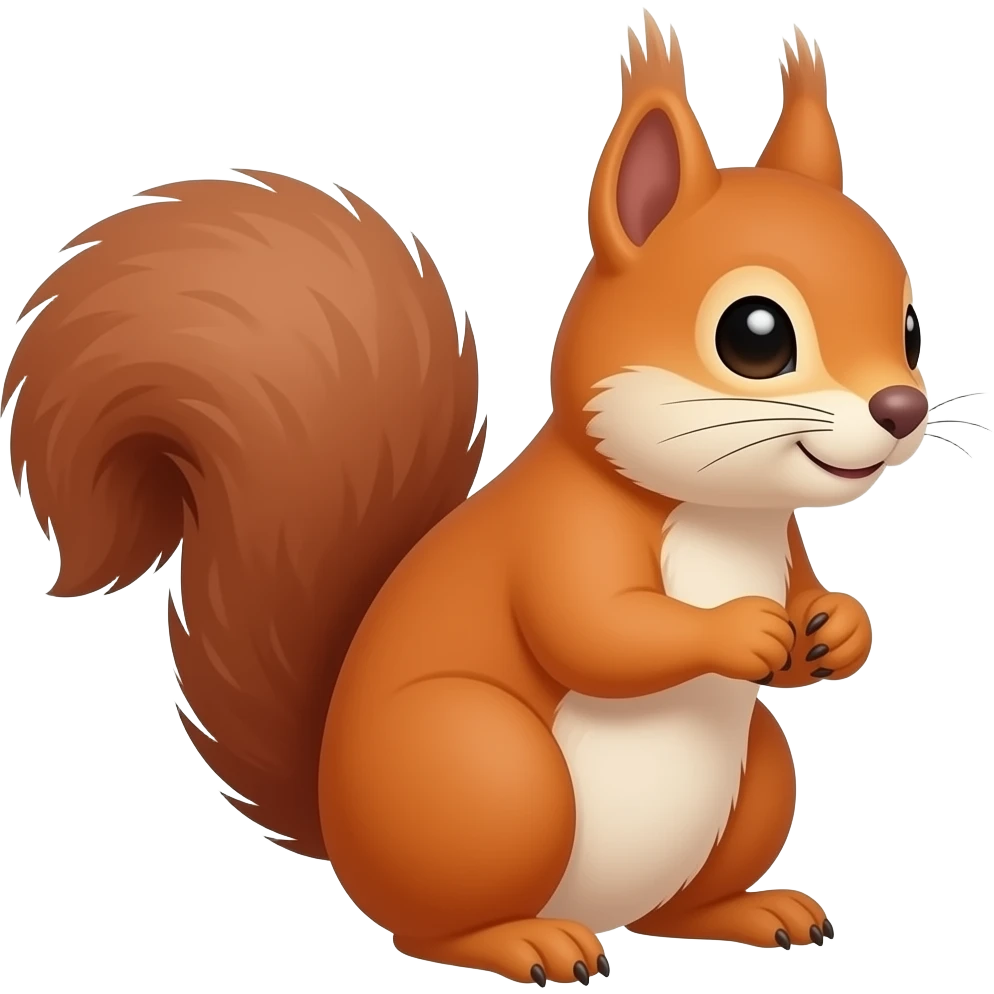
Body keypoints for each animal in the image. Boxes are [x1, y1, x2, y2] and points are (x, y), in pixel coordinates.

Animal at [4, 14, 930, 986]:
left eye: (909, 327)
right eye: (755, 335)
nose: (902, 409)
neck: (720, 511)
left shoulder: (781, 541)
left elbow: (797, 604)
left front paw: (838, 628)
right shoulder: (564, 532)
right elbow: (595, 628)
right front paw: (740, 630)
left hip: (753, 778)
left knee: (674, 909)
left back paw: (752, 910)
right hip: (488, 769)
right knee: (433, 929)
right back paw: (527, 943)